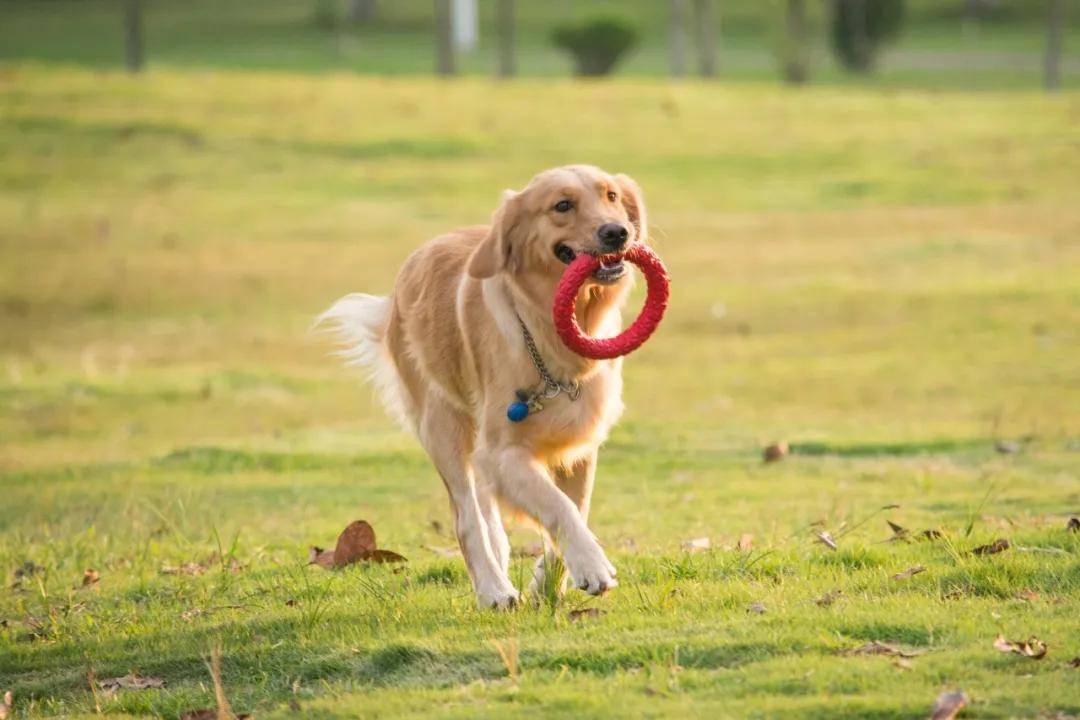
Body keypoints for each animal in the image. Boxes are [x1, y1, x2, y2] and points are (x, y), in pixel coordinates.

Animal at [315, 165, 643, 608]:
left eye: (611, 196)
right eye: (562, 205)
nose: (617, 232)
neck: (547, 330)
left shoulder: (577, 445)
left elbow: (576, 507)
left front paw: (548, 583)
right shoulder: (502, 452)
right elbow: (558, 507)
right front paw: (591, 566)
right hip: (443, 427)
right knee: (467, 518)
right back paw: (493, 589)